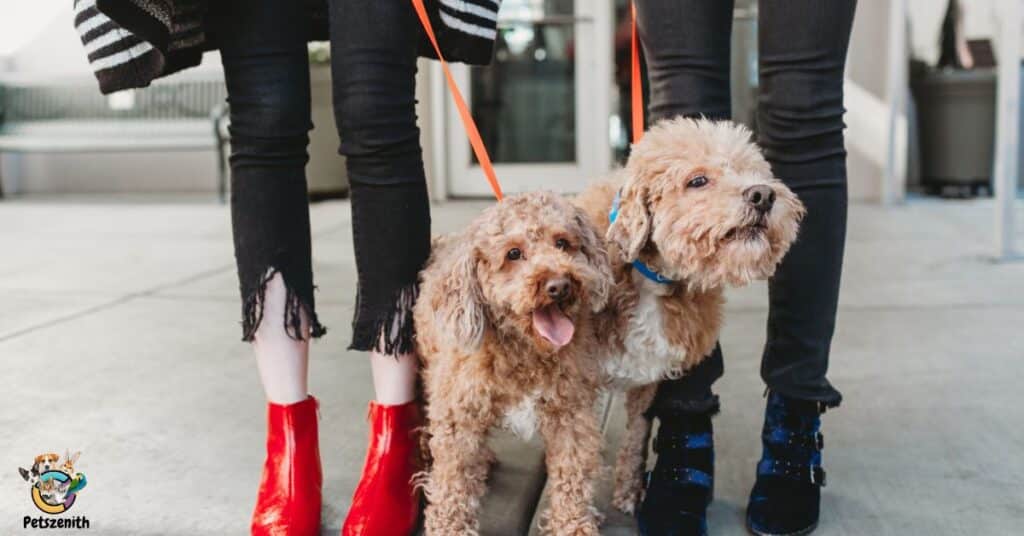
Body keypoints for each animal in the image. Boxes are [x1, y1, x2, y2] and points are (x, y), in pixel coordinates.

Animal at [415, 190, 614, 532]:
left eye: (562, 243)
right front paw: (449, 527)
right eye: (513, 253)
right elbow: (453, 480)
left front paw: (573, 524)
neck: (524, 351)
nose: (559, 285)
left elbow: (572, 472)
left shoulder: (570, 412)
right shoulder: (458, 414)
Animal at [577, 118, 806, 516]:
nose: (763, 194)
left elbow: (636, 437)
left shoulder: (646, 381)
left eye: (752, 172)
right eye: (697, 181)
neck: (649, 276)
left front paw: (629, 491)